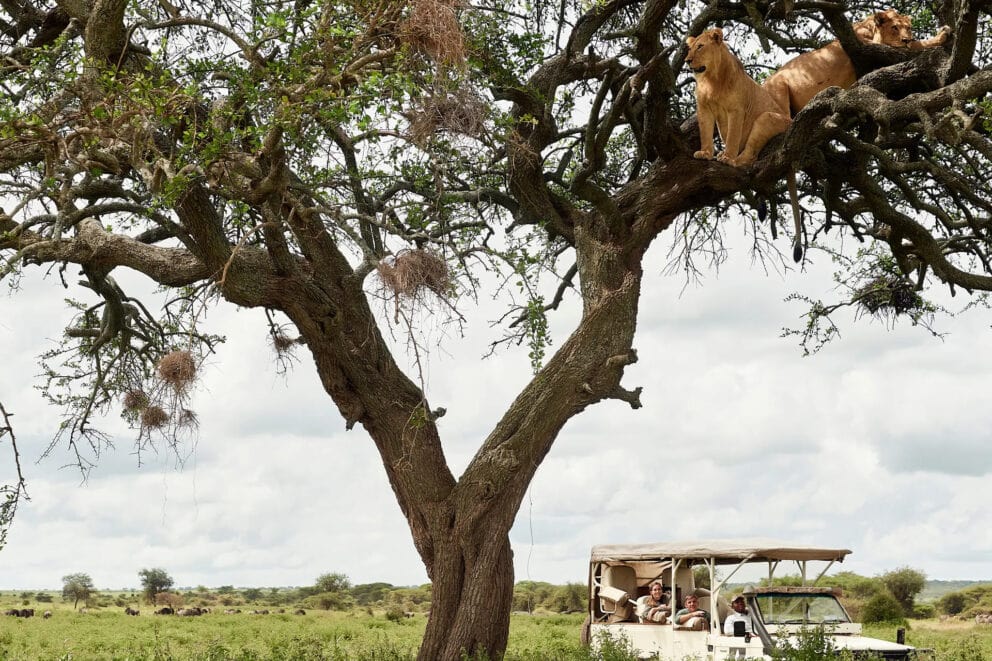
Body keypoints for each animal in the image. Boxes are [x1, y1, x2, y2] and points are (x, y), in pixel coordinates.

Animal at [764, 9, 951, 116]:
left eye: (909, 28)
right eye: (894, 27)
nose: (906, 40)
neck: (870, 30)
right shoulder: (870, 46)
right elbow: (919, 45)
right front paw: (942, 34)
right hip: (778, 90)